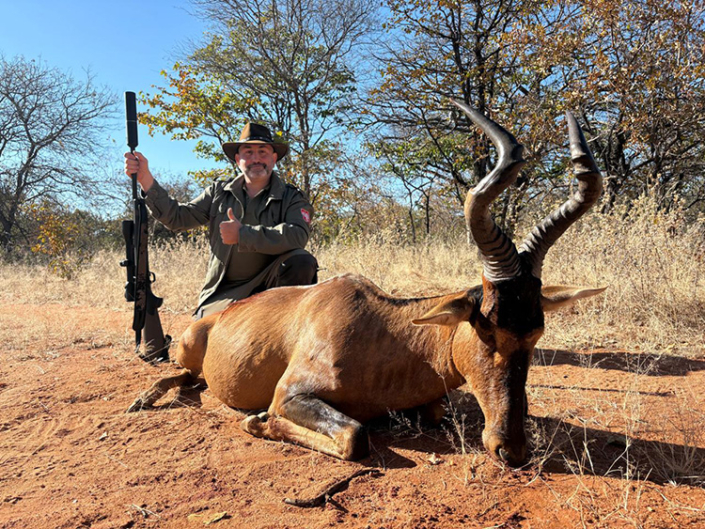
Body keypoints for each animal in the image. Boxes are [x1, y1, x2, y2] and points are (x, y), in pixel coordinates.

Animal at [127, 101, 605, 466]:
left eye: (536, 332)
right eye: (486, 326)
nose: (512, 449)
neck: (385, 326)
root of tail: (217, 316)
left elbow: (429, 413)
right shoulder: (291, 394)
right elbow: (353, 436)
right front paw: (257, 420)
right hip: (188, 351)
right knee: (181, 374)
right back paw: (144, 398)